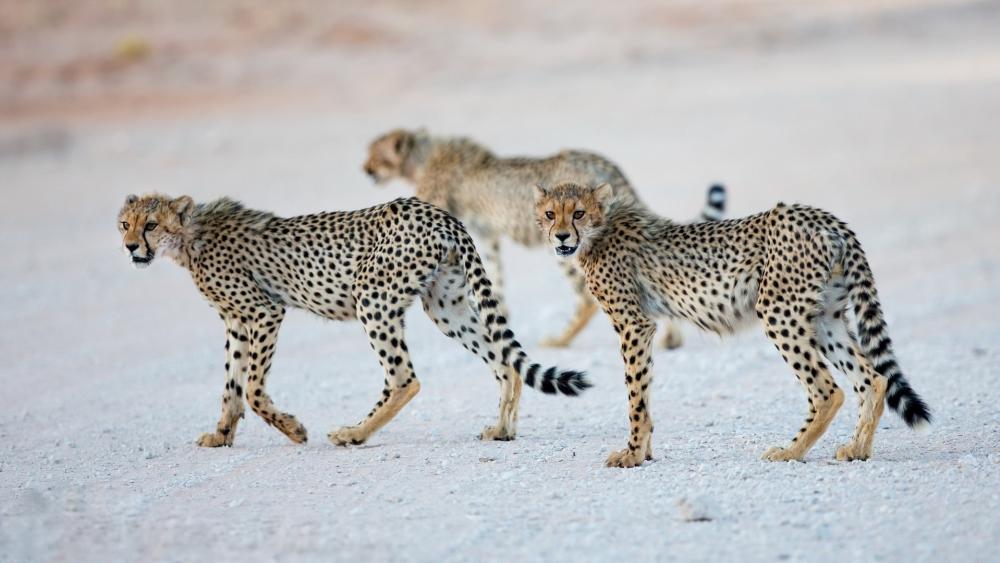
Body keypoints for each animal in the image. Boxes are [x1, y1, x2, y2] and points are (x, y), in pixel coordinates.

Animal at [117, 193, 591, 448]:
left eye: (151, 224)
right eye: (125, 223)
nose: (130, 247)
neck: (190, 236)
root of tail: (436, 212)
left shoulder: (264, 311)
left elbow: (251, 388)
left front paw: (293, 430)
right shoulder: (235, 322)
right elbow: (231, 386)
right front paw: (220, 435)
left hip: (372, 298)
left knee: (404, 379)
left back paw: (355, 434)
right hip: (446, 305)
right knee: (504, 361)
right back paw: (502, 429)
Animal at [363, 128, 727, 350]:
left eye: (376, 155)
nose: (365, 170)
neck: (422, 156)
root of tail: (599, 161)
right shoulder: (486, 233)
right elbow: (494, 273)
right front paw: (498, 311)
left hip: (563, 244)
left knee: (585, 299)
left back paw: (560, 340)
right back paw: (672, 338)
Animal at [533, 182, 931, 468]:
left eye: (579, 213)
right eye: (551, 214)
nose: (562, 236)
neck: (600, 231)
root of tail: (818, 215)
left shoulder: (634, 324)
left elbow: (635, 394)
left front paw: (631, 454)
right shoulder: (643, 324)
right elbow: (643, 391)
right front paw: (643, 451)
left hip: (778, 311)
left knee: (827, 390)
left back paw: (791, 451)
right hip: (824, 316)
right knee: (872, 378)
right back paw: (857, 449)